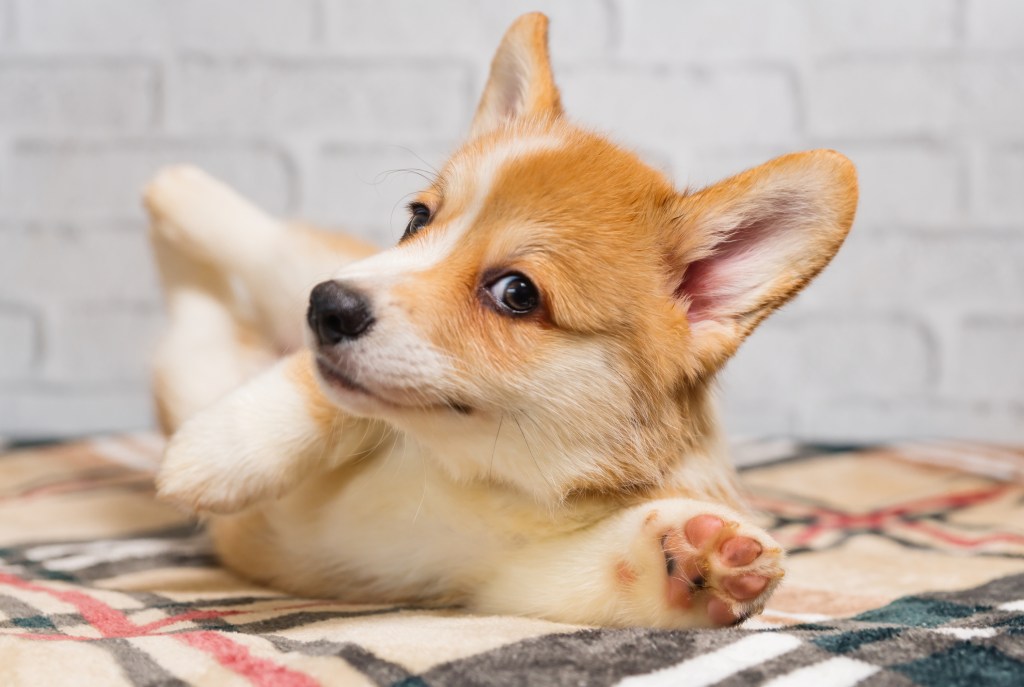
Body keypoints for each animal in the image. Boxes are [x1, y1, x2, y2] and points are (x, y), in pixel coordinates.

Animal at [146, 14, 856, 630]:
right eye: (418, 219)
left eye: (517, 293)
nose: (326, 309)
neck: (471, 472)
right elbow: (320, 391)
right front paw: (217, 452)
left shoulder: (502, 578)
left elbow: (608, 571)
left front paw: (699, 560)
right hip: (284, 288)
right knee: (266, 247)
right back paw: (173, 186)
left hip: (202, 358)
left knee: (193, 322)